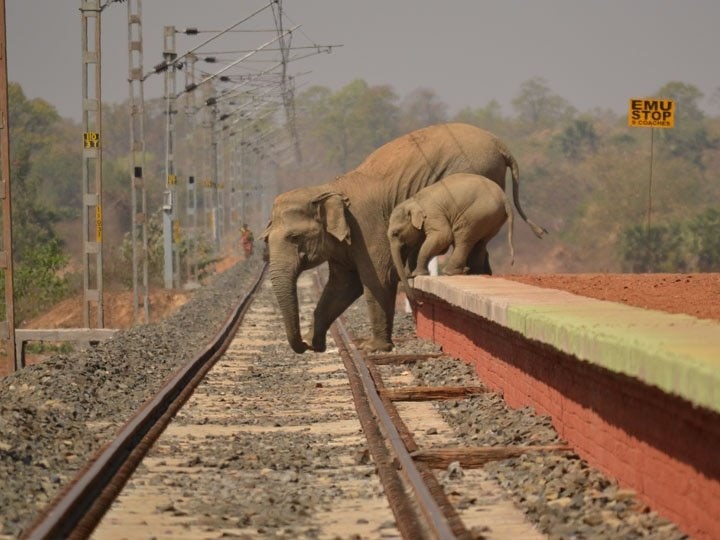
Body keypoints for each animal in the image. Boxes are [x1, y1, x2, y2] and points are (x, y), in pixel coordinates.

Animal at [390, 173, 516, 304]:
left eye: (396, 233)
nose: (420, 302)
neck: (413, 201)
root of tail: (505, 198)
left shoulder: (432, 214)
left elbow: (443, 236)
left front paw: (418, 273)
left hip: (476, 214)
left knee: (463, 238)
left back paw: (451, 272)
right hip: (492, 218)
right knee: (480, 243)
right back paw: (472, 272)